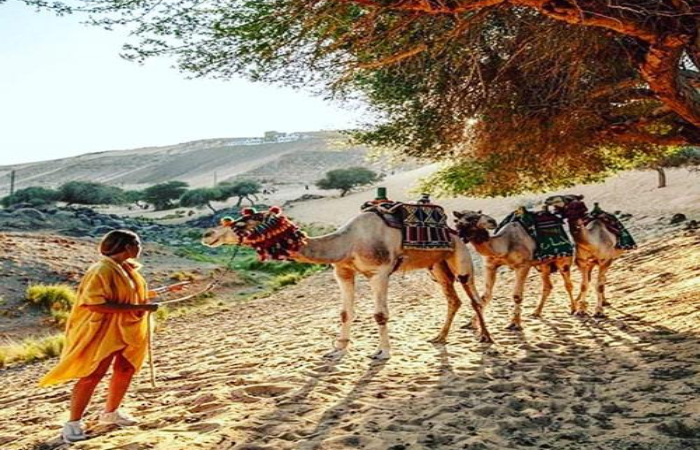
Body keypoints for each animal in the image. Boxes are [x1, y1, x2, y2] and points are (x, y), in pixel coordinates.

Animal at [201, 206, 493, 360]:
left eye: (242, 223)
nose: (207, 234)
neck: (349, 242)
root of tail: (457, 230)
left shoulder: (379, 272)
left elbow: (380, 314)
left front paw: (382, 352)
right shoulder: (342, 272)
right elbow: (344, 312)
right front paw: (338, 348)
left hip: (460, 258)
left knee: (473, 298)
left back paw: (486, 338)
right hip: (437, 266)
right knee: (453, 299)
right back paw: (439, 337)